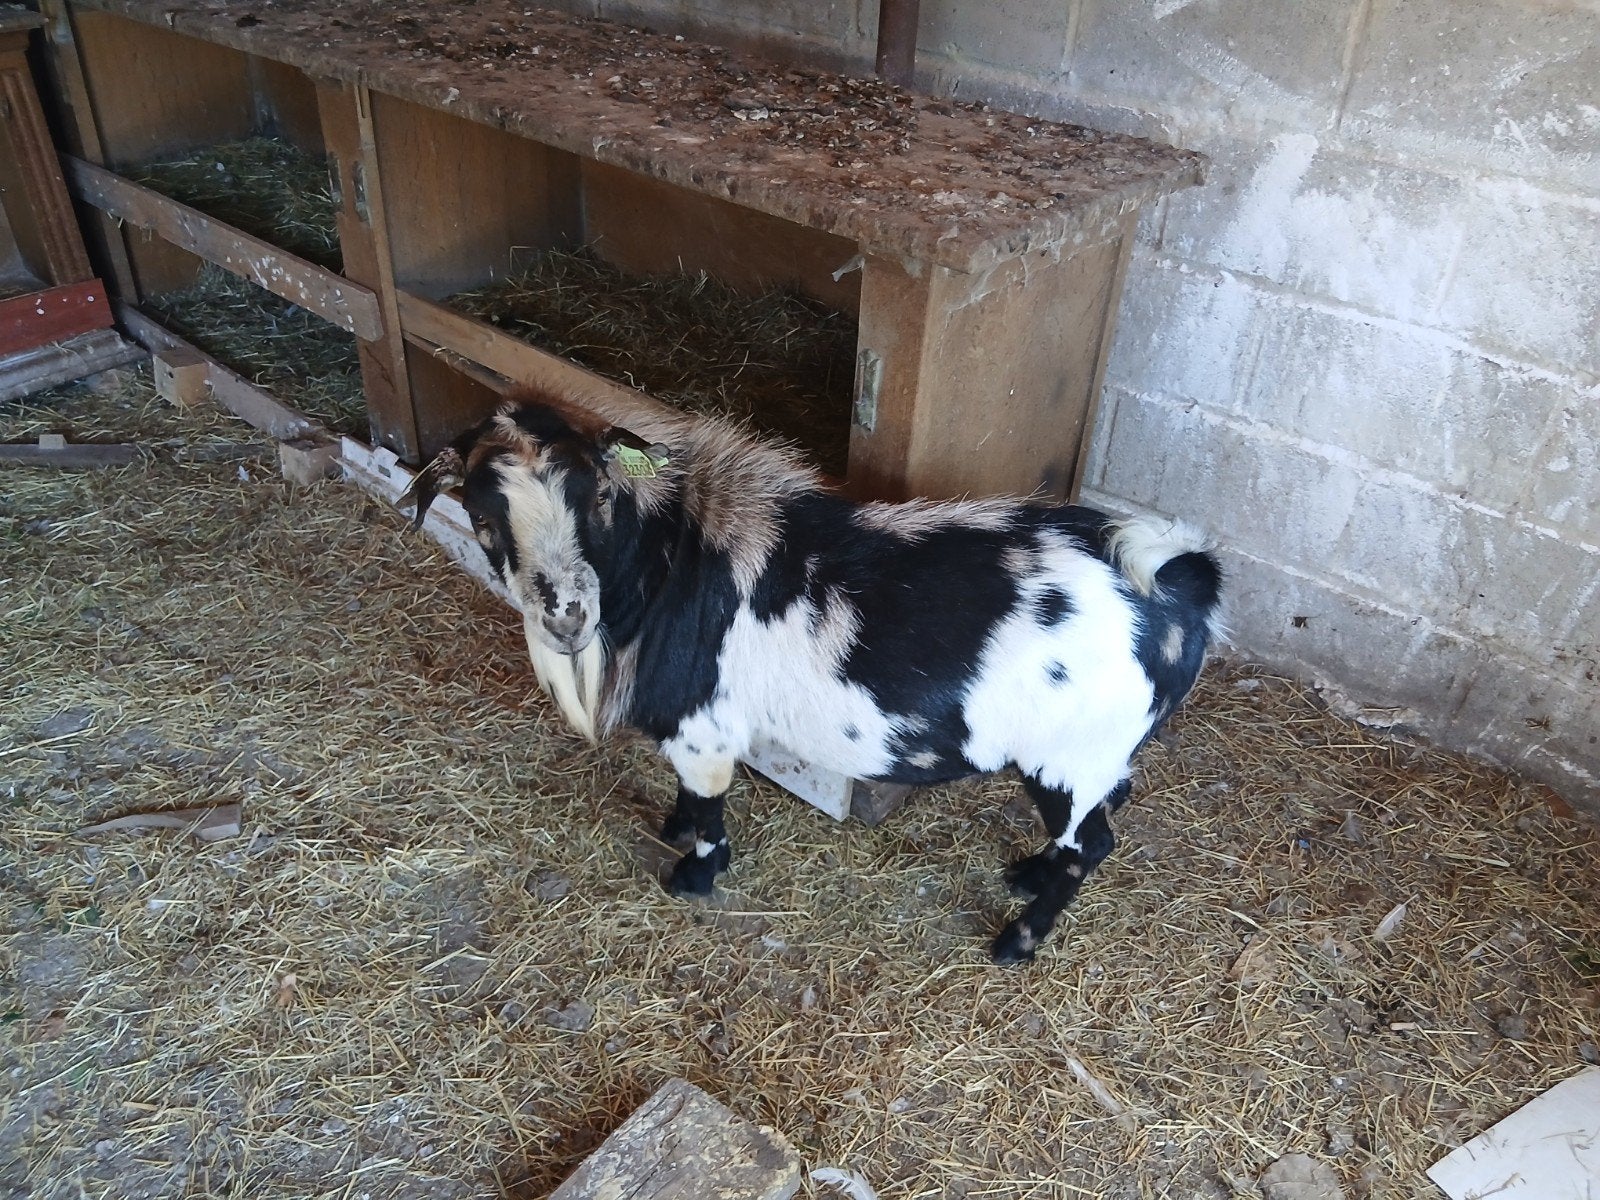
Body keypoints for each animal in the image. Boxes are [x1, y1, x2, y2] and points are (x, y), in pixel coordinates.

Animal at [403, 388, 1223, 963]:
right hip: (1095, 757)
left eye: (598, 495)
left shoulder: (704, 730)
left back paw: (1017, 941)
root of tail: (1176, 582)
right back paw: (1026, 873)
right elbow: (685, 795)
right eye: (483, 514)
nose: (567, 615)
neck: (668, 567)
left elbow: (711, 809)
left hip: (1070, 757)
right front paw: (671, 826)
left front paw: (693, 875)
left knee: (1094, 846)